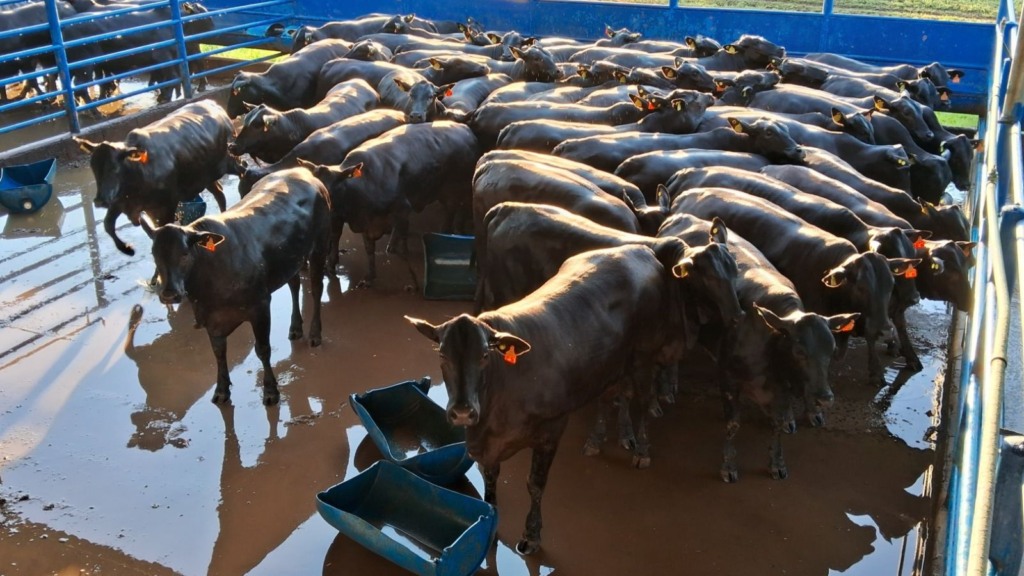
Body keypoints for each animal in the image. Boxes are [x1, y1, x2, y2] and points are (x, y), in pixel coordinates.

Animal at [75, 100, 235, 255]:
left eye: (114, 168)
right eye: (93, 168)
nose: (99, 201)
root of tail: (214, 105)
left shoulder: (165, 207)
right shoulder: (117, 202)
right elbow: (108, 225)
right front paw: (126, 248)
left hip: (229, 160)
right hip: (205, 176)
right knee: (219, 193)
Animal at [138, 167, 329, 403]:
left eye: (184, 254)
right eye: (155, 255)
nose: (169, 294)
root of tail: (300, 170)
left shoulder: (260, 307)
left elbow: (262, 349)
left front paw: (270, 390)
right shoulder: (212, 319)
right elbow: (218, 352)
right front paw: (221, 390)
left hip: (320, 245)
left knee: (317, 288)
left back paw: (315, 334)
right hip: (291, 259)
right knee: (294, 284)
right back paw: (295, 327)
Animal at [403, 240, 684, 553]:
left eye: (485, 355)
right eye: (442, 355)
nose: (463, 411)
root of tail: (640, 248)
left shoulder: (552, 428)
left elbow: (535, 484)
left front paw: (531, 535)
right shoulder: (486, 444)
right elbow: (490, 478)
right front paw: (492, 523)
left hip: (645, 353)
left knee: (643, 400)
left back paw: (641, 451)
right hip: (609, 364)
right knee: (612, 395)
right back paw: (600, 439)